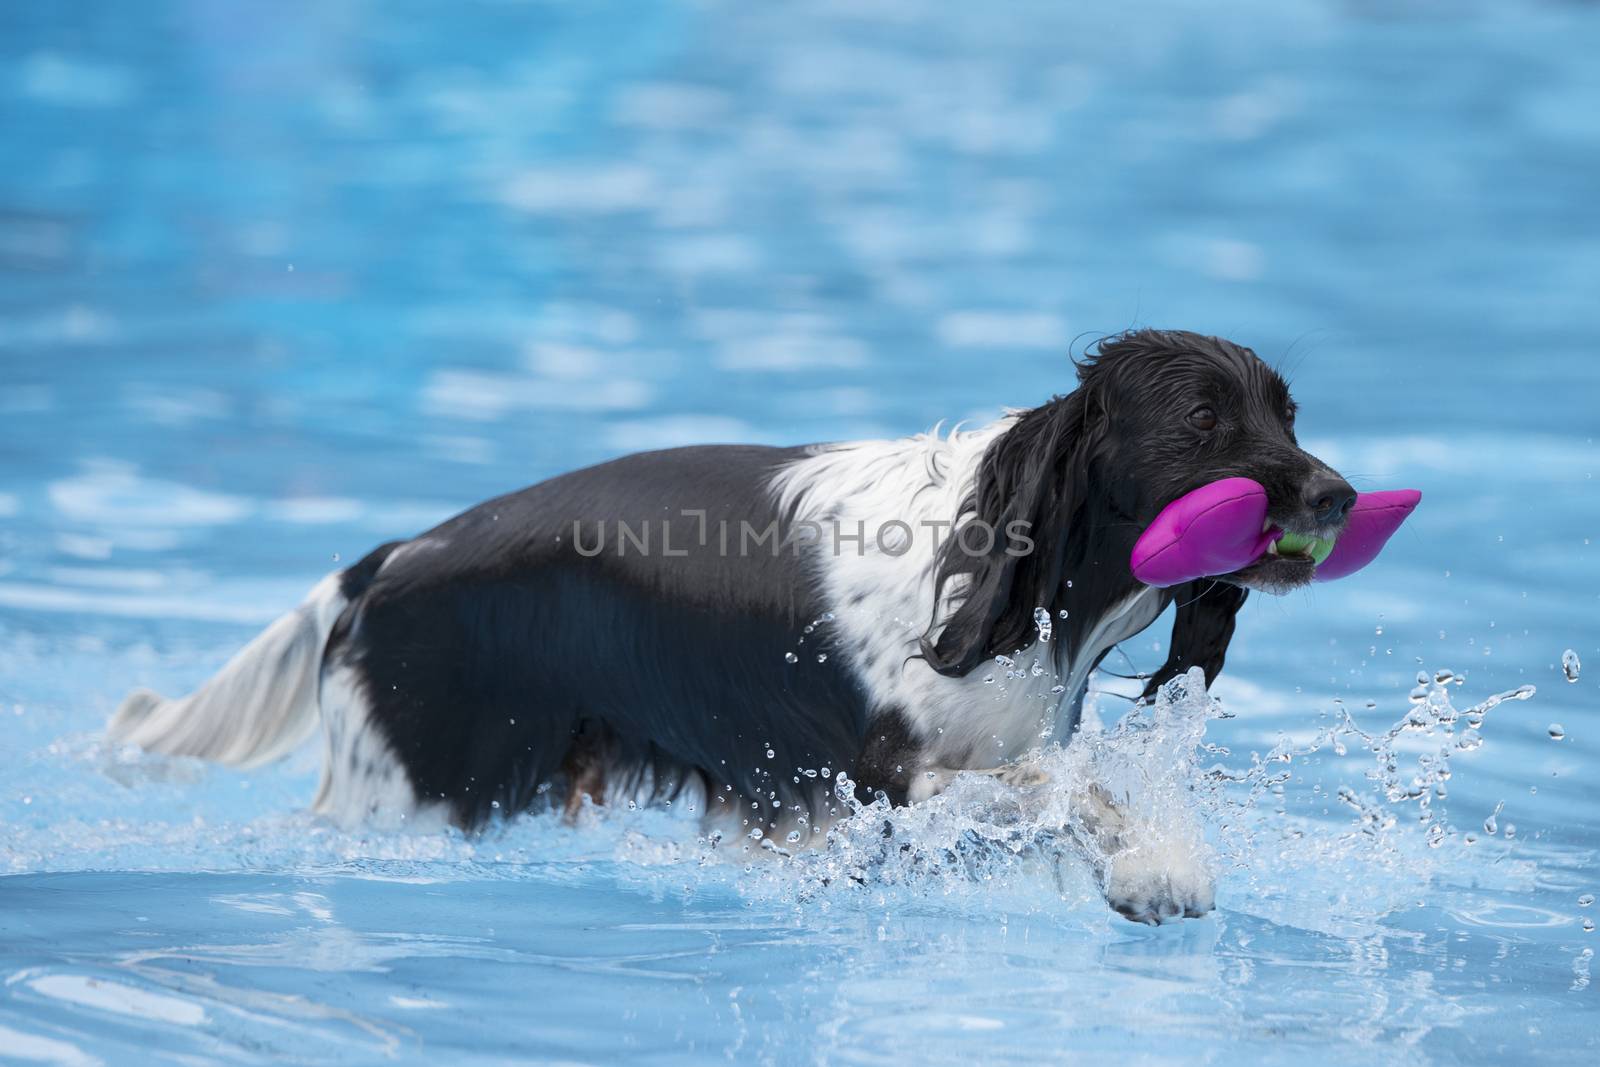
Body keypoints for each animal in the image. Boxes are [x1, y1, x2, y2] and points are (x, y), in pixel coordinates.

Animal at [112, 329, 1356, 921]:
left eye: (1287, 413)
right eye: (1202, 421)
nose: (1339, 495)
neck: (1000, 587)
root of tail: (383, 563)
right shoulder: (886, 779)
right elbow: (1066, 789)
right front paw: (1157, 867)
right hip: (407, 790)